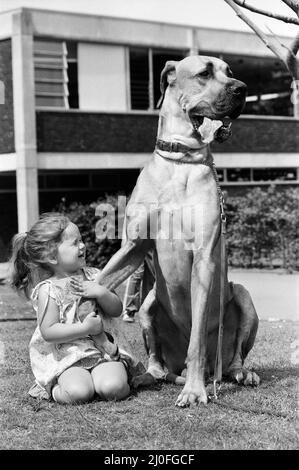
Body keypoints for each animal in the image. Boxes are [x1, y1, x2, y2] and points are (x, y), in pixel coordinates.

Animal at [98, 56, 260, 408]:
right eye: (204, 73)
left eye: (230, 72)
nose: (242, 89)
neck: (180, 161)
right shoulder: (132, 248)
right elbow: (100, 279)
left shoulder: (204, 257)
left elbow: (197, 339)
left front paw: (195, 391)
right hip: (148, 304)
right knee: (158, 361)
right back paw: (148, 375)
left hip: (242, 297)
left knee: (232, 358)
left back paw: (238, 374)